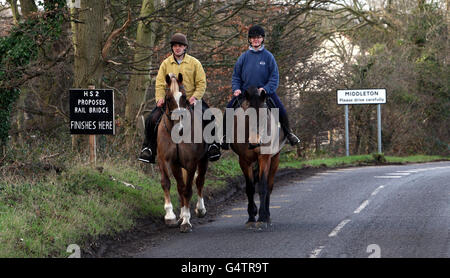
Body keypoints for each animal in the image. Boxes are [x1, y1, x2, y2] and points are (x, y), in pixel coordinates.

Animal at [157, 72, 208, 232]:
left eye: (184, 97)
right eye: (168, 98)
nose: (179, 128)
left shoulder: (191, 163)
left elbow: (187, 190)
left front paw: (186, 221)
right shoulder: (168, 161)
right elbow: (169, 184)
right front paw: (170, 217)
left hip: (203, 160)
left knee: (199, 181)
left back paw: (200, 209)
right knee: (182, 187)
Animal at [229, 87, 288, 230]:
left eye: (264, 116)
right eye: (247, 116)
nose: (254, 142)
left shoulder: (265, 158)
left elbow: (262, 186)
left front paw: (262, 218)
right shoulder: (244, 160)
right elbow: (250, 188)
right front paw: (251, 217)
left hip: (275, 159)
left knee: (269, 186)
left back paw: (267, 215)